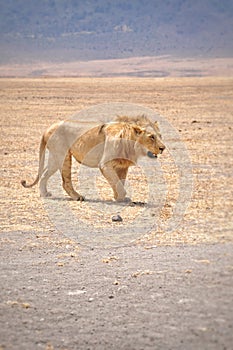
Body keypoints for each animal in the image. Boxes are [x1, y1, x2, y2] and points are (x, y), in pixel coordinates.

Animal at [20, 115, 165, 201]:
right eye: (152, 137)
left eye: (160, 135)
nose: (163, 148)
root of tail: (48, 128)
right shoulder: (105, 164)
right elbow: (118, 183)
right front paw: (122, 197)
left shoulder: (122, 166)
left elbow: (119, 181)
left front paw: (117, 197)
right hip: (62, 155)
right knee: (62, 180)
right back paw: (74, 196)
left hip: (58, 157)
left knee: (47, 174)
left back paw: (48, 194)